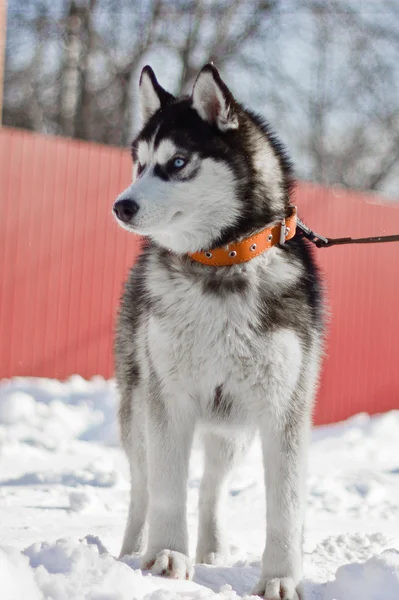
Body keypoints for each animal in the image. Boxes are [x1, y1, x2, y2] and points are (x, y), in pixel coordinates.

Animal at [111, 64, 322, 600]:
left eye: (177, 162)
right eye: (139, 165)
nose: (121, 206)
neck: (220, 264)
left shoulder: (283, 406)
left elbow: (286, 506)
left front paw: (281, 578)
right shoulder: (168, 399)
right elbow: (167, 489)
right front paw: (167, 558)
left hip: (234, 427)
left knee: (210, 488)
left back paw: (211, 549)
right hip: (138, 409)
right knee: (142, 487)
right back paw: (131, 551)